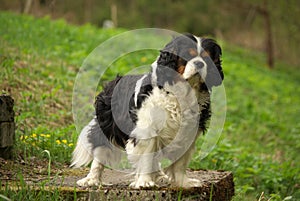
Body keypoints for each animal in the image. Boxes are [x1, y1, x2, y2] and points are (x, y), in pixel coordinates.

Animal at [71, 33, 224, 188]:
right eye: (187, 55)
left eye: (207, 58)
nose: (200, 63)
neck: (183, 92)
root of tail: (113, 83)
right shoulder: (146, 130)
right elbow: (146, 157)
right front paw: (144, 182)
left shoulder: (188, 134)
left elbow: (180, 163)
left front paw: (184, 182)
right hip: (107, 127)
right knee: (100, 152)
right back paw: (92, 179)